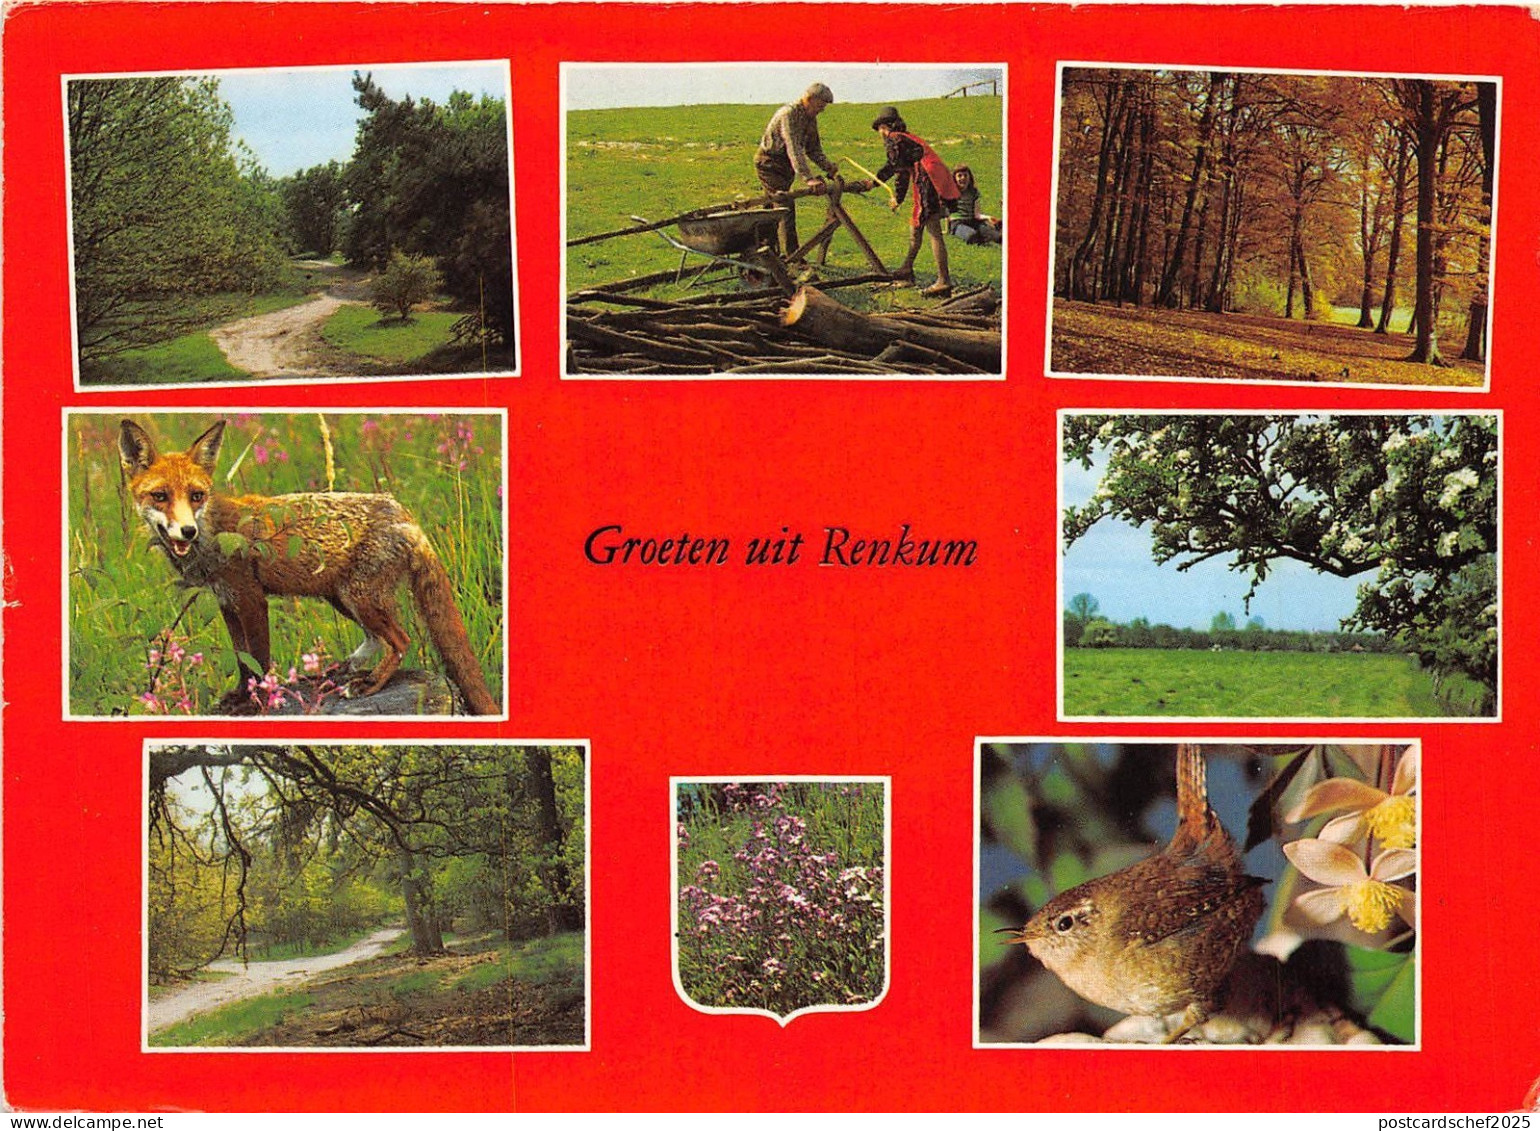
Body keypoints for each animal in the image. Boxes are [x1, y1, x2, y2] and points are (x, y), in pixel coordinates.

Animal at [118, 418, 500, 716]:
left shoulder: (251, 599)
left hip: (359, 597)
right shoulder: (226, 602)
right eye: (160, 496)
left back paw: (371, 682)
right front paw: (240, 696)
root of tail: (406, 514)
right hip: (341, 598)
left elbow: (259, 662)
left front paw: (255, 702)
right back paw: (342, 668)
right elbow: (243, 661)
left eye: (196, 496)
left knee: (400, 639)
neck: (213, 534)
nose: (187, 531)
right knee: (375, 638)